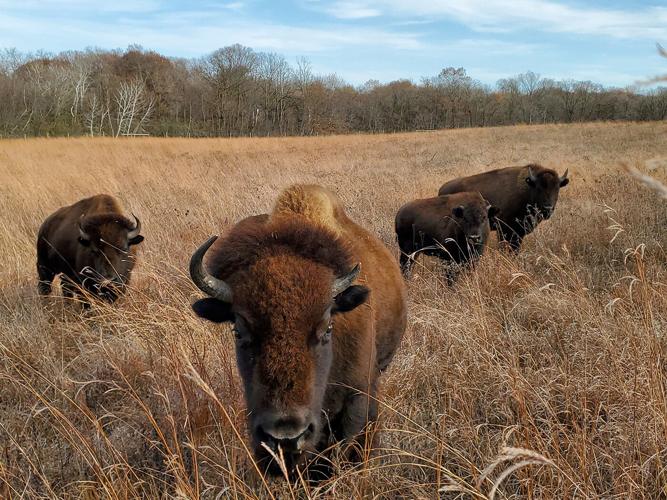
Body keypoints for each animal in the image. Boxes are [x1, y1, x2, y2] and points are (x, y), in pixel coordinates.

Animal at [438, 164, 569, 251]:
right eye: (539, 187)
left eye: (557, 187)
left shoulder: (518, 233)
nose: (548, 208)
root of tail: (442, 189)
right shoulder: (504, 230)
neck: (527, 189)